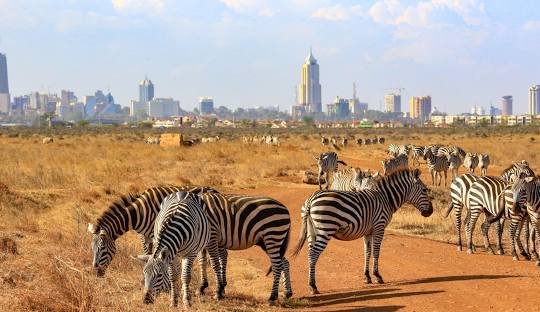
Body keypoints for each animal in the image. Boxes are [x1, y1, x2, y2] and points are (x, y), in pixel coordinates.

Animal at [87, 184, 218, 276]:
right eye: (92, 248)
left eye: (102, 248)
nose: (97, 273)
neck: (139, 213)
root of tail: (214, 190)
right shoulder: (144, 235)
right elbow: (147, 253)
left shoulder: (155, 234)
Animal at [288, 169, 432, 294]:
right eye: (424, 190)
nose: (430, 212)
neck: (386, 199)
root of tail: (312, 199)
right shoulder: (379, 227)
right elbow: (376, 252)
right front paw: (377, 276)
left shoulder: (368, 231)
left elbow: (367, 252)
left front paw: (367, 277)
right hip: (325, 229)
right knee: (313, 254)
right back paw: (313, 286)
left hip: (312, 231)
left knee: (309, 253)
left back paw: (311, 283)